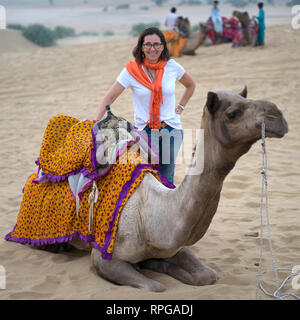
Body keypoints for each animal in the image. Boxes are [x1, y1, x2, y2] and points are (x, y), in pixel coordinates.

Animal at [82, 86, 288, 292]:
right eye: (232, 113)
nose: (278, 115)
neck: (148, 220)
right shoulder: (103, 257)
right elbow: (156, 287)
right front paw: (152, 266)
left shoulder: (176, 247)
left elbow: (207, 275)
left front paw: (157, 264)